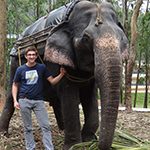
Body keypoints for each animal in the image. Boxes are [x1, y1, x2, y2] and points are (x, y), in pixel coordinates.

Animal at [0, 0, 129, 149]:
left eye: (122, 39)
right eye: (86, 38)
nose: (96, 143)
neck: (68, 17)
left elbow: (90, 95)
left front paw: (87, 141)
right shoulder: (54, 61)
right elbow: (68, 94)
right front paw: (75, 146)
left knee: (55, 99)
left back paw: (61, 129)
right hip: (14, 63)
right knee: (11, 95)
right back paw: (3, 133)